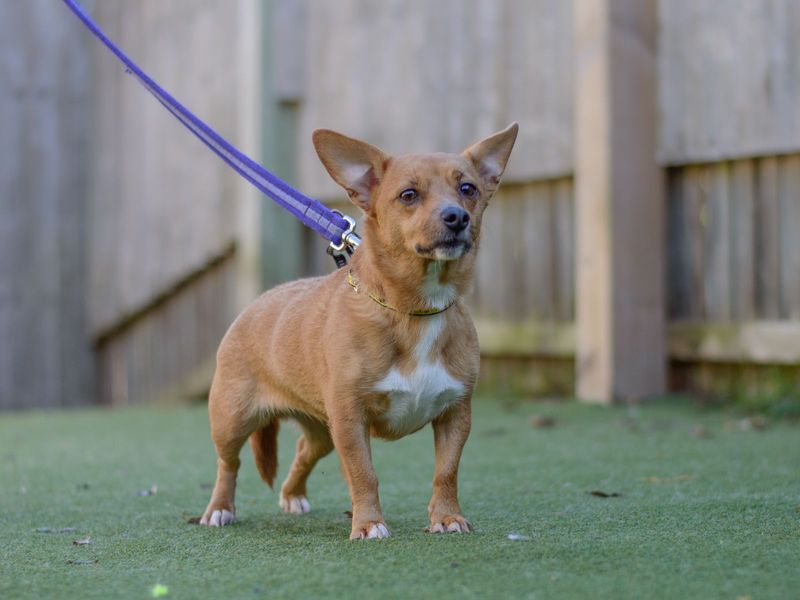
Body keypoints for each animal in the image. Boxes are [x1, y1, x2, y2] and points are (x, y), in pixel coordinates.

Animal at [200, 122, 520, 540]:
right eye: (408, 195)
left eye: (468, 189)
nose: (456, 217)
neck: (414, 311)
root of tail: (255, 304)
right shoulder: (351, 421)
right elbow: (364, 473)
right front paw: (369, 524)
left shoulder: (455, 415)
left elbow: (446, 472)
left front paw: (447, 517)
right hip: (233, 420)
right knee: (228, 464)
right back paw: (220, 509)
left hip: (323, 432)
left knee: (302, 451)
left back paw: (293, 496)